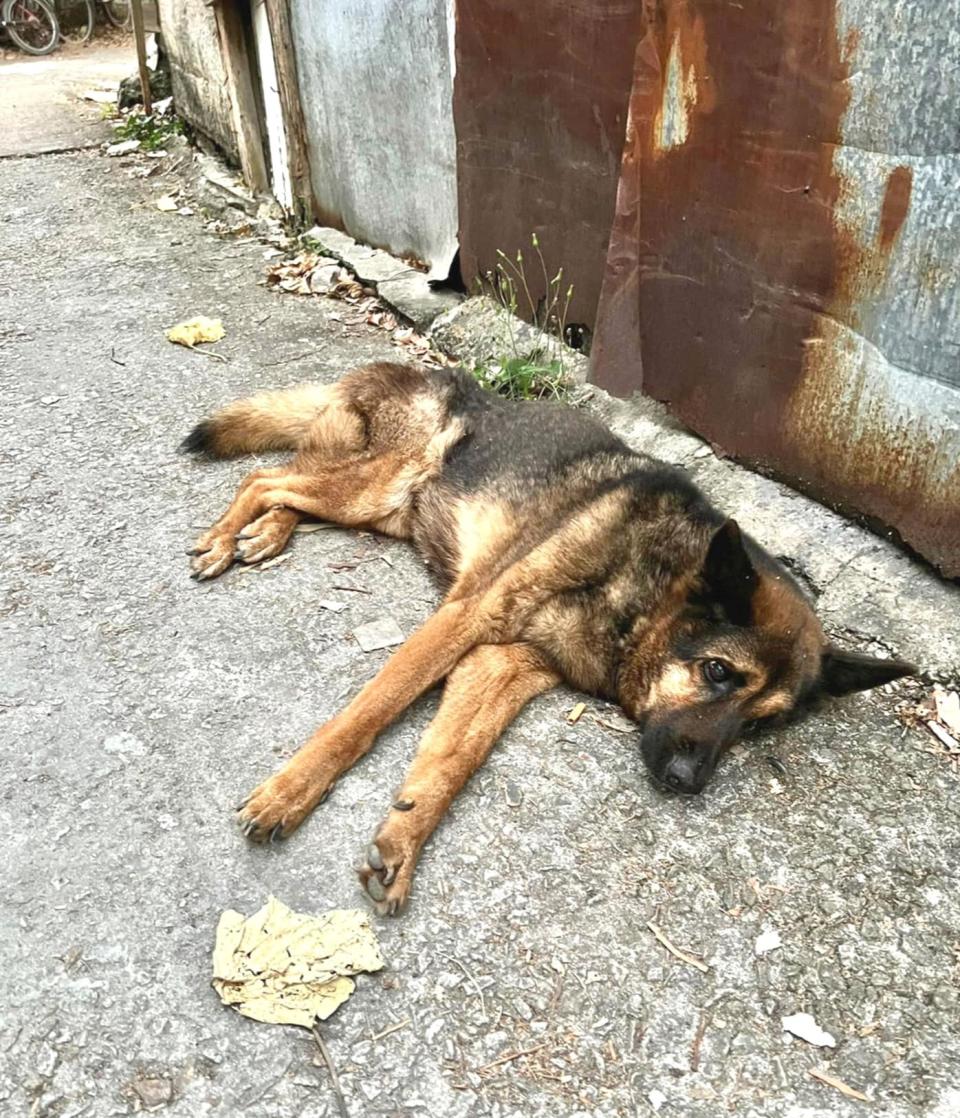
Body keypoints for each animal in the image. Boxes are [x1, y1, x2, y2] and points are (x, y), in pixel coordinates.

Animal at [182, 362, 916, 912]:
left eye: (762, 725)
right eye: (717, 672)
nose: (686, 783)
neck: (644, 595)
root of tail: (426, 370)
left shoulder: (506, 665)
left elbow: (454, 759)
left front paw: (403, 839)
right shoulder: (469, 615)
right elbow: (371, 711)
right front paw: (291, 791)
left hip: (382, 512)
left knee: (290, 492)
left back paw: (263, 535)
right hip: (380, 486)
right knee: (265, 476)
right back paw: (226, 537)